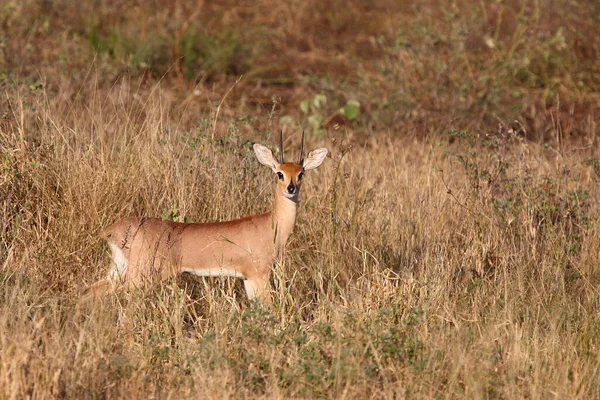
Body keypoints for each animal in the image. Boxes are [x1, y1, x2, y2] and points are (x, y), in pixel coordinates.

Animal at [93, 133, 328, 302]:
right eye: (279, 173)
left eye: (301, 173)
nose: (291, 188)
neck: (272, 225)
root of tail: (113, 230)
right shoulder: (259, 275)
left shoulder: (247, 279)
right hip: (139, 276)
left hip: (118, 270)